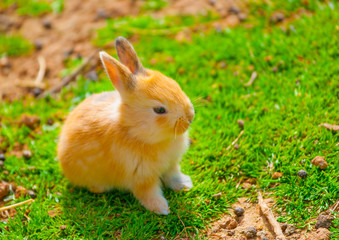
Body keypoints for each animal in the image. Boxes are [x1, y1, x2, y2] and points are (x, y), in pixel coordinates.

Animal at [58, 36, 195, 215]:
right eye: (159, 110)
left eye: (175, 84)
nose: (190, 117)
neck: (135, 132)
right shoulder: (142, 178)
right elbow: (149, 194)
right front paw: (162, 209)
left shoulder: (171, 165)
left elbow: (173, 176)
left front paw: (185, 184)